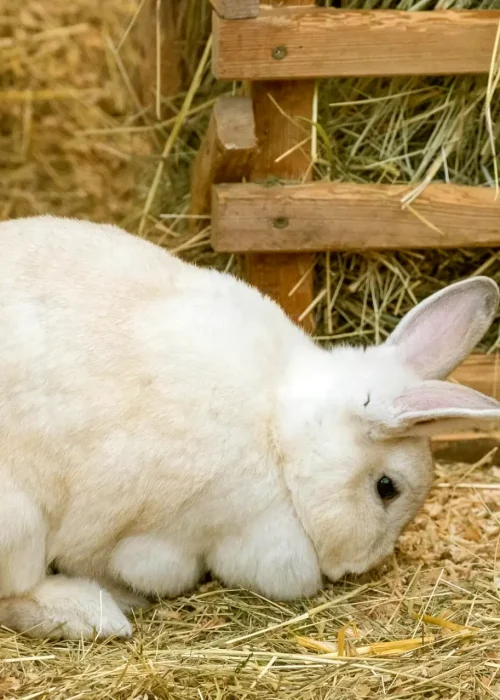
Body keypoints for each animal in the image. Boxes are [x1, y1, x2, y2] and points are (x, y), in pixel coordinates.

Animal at [0, 214, 499, 641]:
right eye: (386, 488)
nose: (355, 567)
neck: (278, 432)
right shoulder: (171, 532)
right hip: (19, 525)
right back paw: (93, 614)